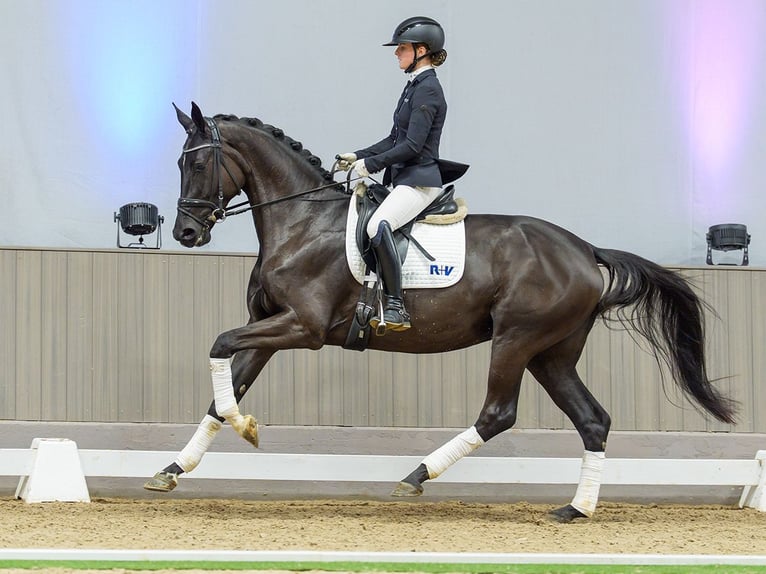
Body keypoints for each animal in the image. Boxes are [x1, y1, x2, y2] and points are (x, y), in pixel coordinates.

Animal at [143, 102, 736, 522]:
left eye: (199, 161)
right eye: (179, 161)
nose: (187, 233)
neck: (302, 223)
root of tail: (585, 250)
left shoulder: (302, 327)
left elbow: (220, 344)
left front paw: (245, 428)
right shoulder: (267, 327)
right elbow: (222, 392)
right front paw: (173, 470)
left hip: (516, 339)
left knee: (498, 413)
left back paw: (416, 476)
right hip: (552, 354)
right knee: (593, 419)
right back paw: (575, 509)